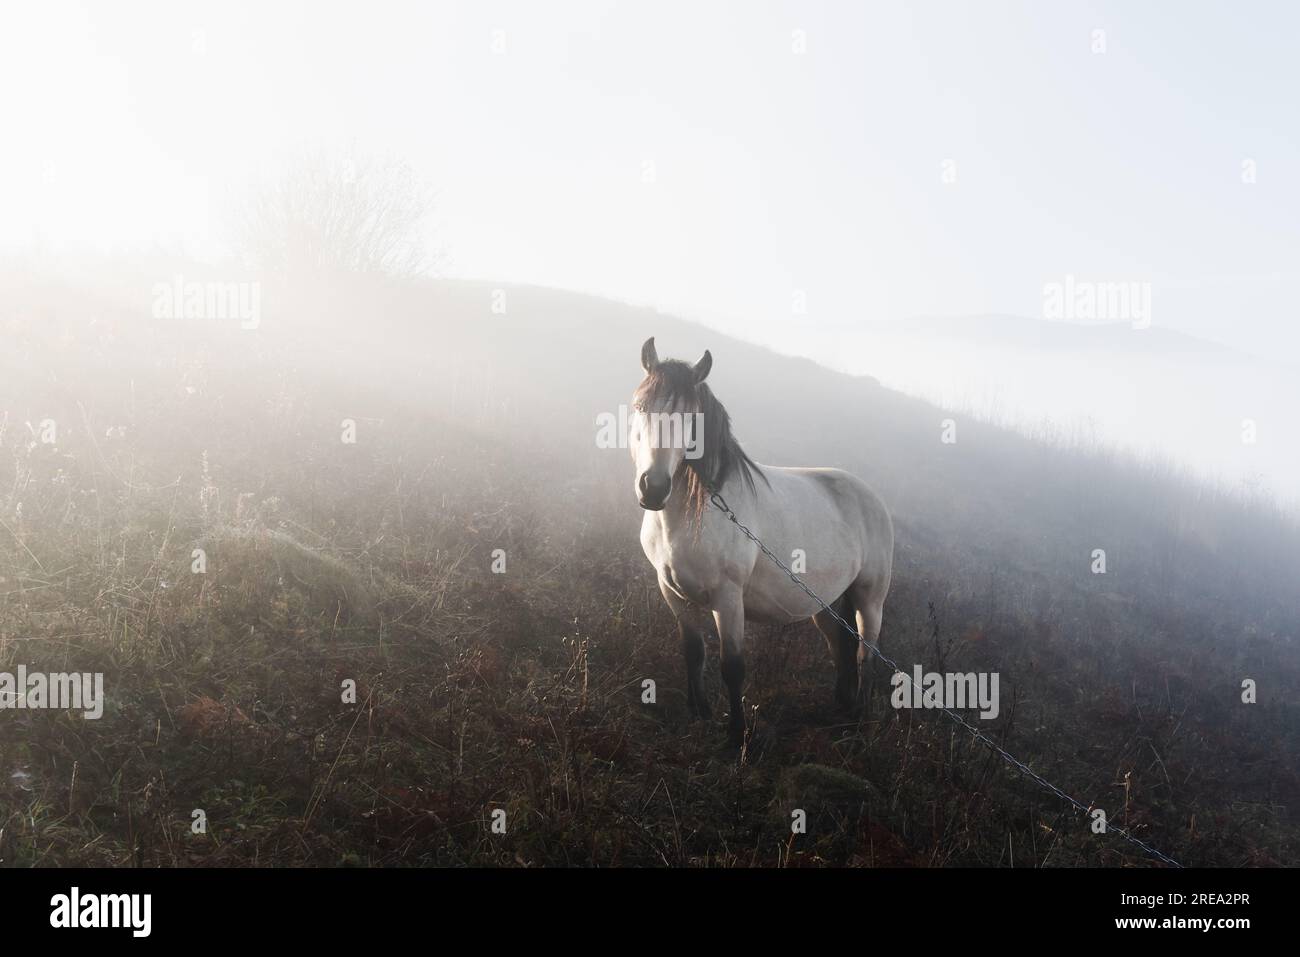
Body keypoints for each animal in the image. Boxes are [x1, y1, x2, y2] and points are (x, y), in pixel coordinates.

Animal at [631, 337, 894, 745]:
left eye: (691, 418)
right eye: (641, 407)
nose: (653, 488)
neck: (695, 513)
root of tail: (873, 498)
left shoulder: (728, 598)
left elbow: (732, 666)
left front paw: (736, 734)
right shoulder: (671, 590)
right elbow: (693, 652)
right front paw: (699, 714)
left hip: (870, 599)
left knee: (866, 654)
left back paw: (859, 720)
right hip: (828, 605)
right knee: (841, 649)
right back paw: (842, 710)